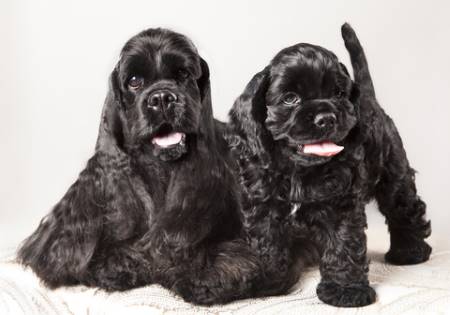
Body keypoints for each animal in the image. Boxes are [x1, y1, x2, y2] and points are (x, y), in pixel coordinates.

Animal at [227, 22, 430, 308]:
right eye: (290, 98)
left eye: (339, 94)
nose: (326, 117)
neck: (297, 170)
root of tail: (371, 100)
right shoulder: (263, 205)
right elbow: (268, 243)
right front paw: (269, 279)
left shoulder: (341, 205)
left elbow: (343, 245)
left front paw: (346, 290)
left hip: (394, 175)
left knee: (406, 209)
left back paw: (410, 251)